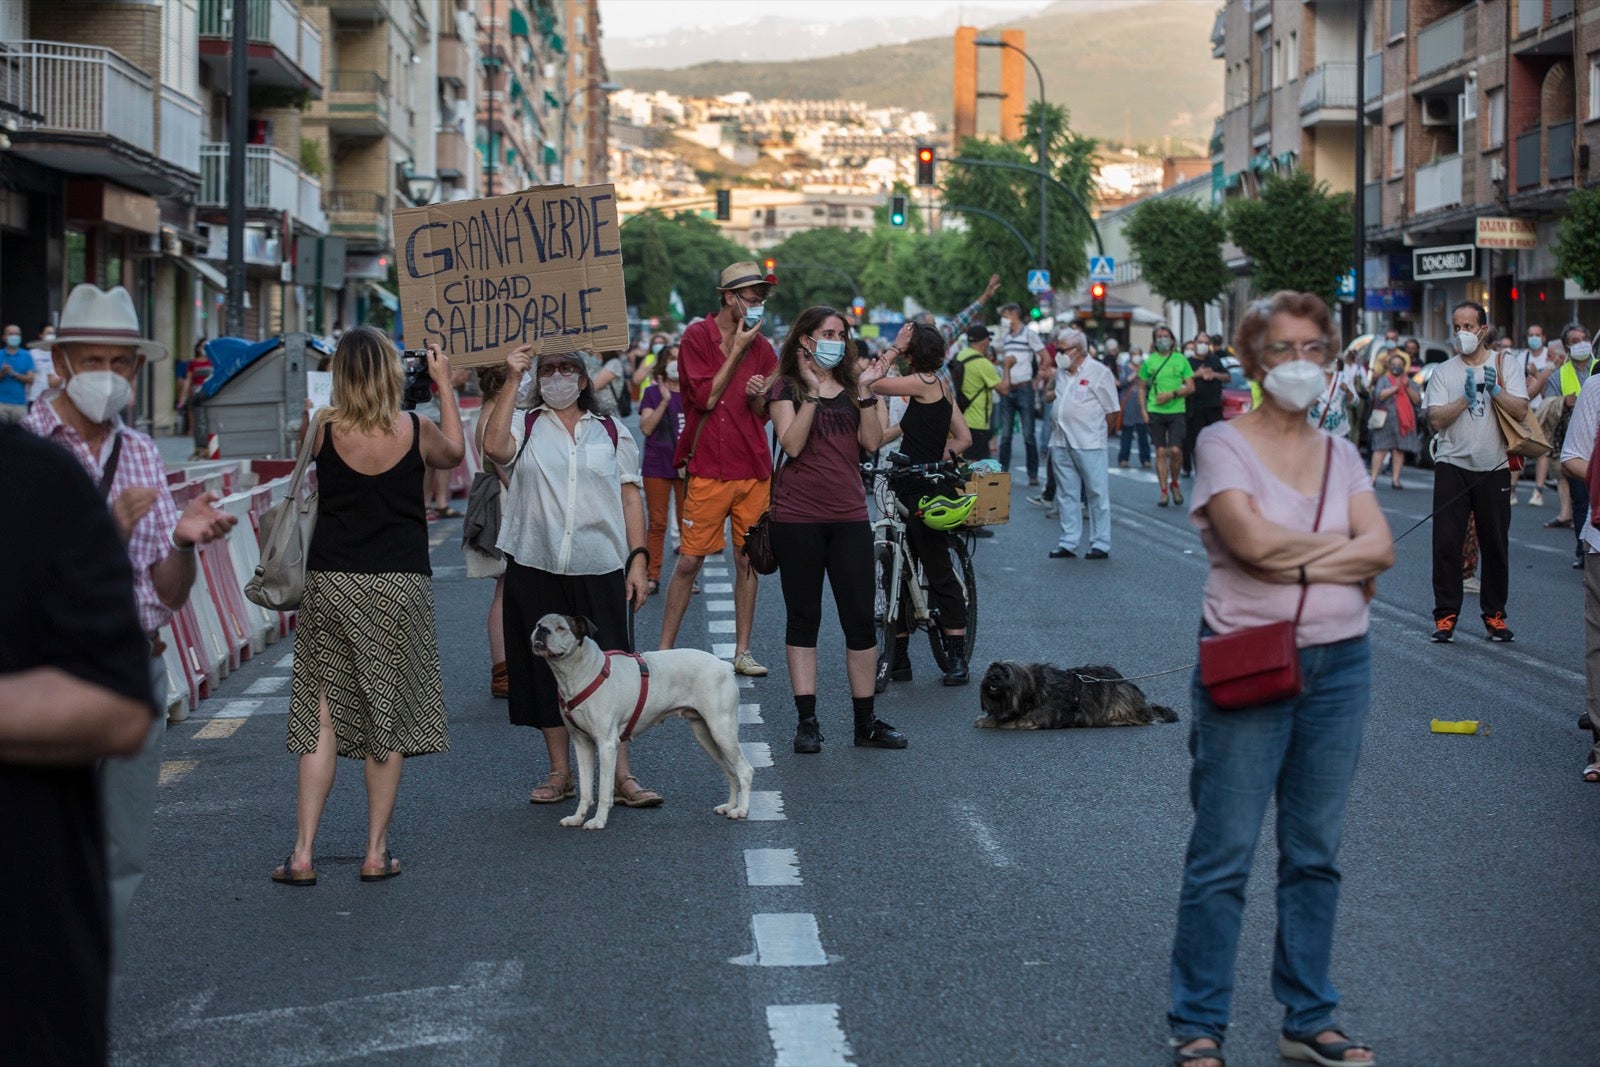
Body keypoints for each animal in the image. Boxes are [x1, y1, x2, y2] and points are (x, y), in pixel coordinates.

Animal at [524, 614, 748, 831]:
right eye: (538, 623)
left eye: (561, 627)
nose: (542, 630)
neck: (579, 672)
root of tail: (724, 665)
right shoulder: (582, 744)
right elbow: (586, 790)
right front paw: (577, 818)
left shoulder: (607, 745)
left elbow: (604, 789)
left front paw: (598, 821)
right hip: (706, 736)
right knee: (730, 771)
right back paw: (729, 806)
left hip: (721, 731)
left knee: (745, 770)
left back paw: (741, 810)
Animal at [966, 662, 1184, 729]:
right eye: (992, 669)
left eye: (1005, 673)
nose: (992, 678)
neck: (1036, 689)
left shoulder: (1036, 717)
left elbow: (1014, 720)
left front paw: (990, 721)